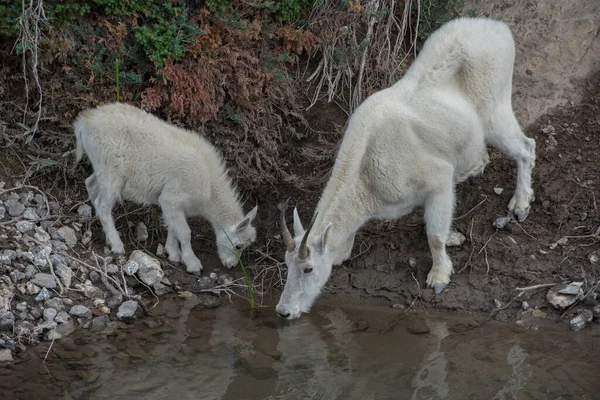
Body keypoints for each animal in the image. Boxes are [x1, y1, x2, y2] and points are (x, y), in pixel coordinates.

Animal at [278, 18, 536, 318]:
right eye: (286, 264)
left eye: (308, 269)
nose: (283, 311)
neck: (365, 175)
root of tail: (500, 29)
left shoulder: (436, 180)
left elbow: (434, 236)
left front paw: (438, 277)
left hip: (495, 107)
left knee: (525, 147)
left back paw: (521, 203)